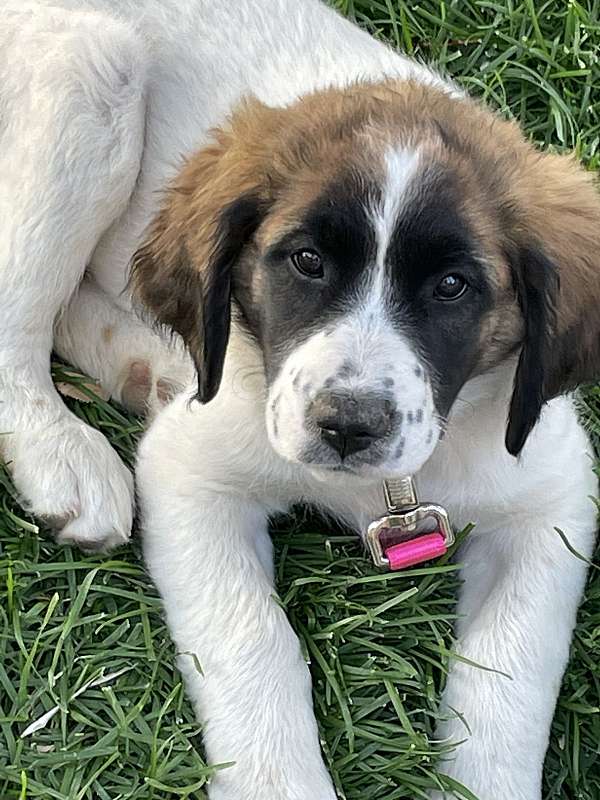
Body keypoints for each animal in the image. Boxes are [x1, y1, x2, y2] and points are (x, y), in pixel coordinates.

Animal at [1, 1, 600, 800]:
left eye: (452, 286)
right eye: (307, 261)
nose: (348, 425)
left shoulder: (553, 497)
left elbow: (509, 675)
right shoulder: (191, 476)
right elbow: (253, 638)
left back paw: (148, 368)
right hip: (91, 77)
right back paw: (63, 454)